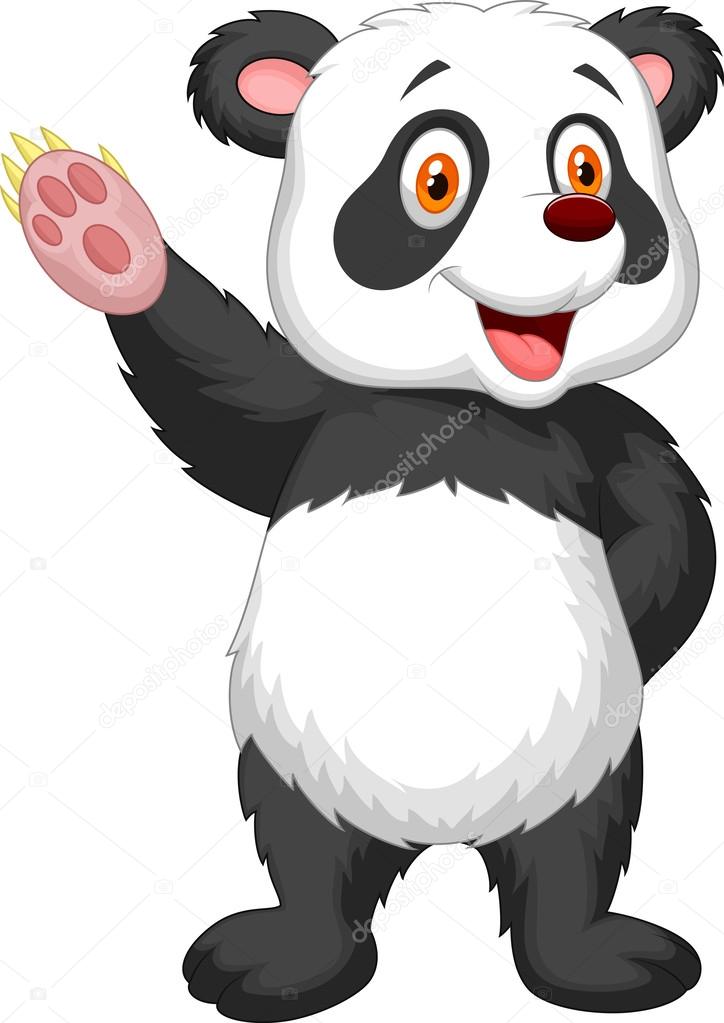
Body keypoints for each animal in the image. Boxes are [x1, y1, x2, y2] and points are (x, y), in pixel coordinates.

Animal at [5, 2, 722, 1019]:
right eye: (437, 178)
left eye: (589, 163)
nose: (581, 215)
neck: (465, 405)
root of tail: (445, 835)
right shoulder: (321, 416)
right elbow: (223, 403)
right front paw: (99, 232)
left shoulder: (595, 427)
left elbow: (667, 528)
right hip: (295, 756)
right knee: (308, 856)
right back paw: (286, 961)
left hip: (585, 763)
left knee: (575, 854)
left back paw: (594, 962)